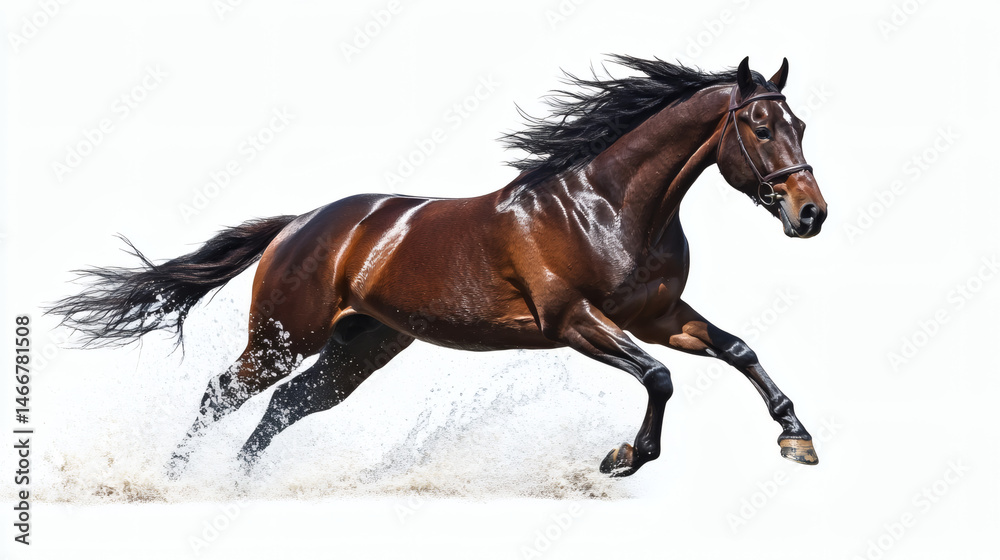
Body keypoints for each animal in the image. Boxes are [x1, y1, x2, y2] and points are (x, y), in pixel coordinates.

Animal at [50, 56, 828, 479]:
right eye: (760, 127)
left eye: (800, 125)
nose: (811, 214)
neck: (608, 206)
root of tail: (301, 223)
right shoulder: (575, 321)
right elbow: (661, 378)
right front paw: (623, 458)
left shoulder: (660, 315)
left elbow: (738, 349)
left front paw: (797, 439)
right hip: (285, 336)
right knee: (223, 393)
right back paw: (179, 481)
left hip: (360, 347)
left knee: (286, 407)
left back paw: (238, 487)